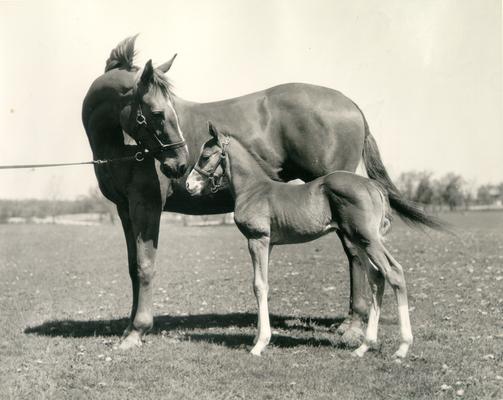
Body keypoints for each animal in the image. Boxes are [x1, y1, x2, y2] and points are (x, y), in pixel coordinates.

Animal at [185, 123, 414, 358]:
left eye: (205, 156)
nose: (189, 185)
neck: (253, 189)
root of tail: (373, 186)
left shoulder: (257, 239)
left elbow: (259, 285)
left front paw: (260, 344)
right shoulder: (268, 244)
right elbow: (263, 284)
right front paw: (257, 337)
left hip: (368, 240)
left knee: (394, 272)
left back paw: (403, 347)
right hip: (360, 241)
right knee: (377, 279)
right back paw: (364, 346)